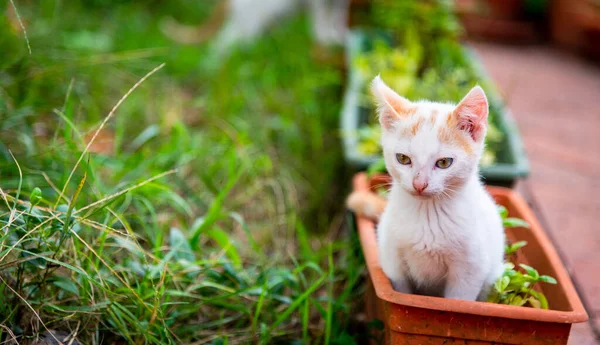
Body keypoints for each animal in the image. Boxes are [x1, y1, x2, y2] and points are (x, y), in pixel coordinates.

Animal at [368, 76, 504, 300]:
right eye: (403, 158)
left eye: (444, 163)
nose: (419, 184)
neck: (427, 214)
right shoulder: (392, 259)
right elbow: (402, 290)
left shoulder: (471, 268)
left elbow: (458, 301)